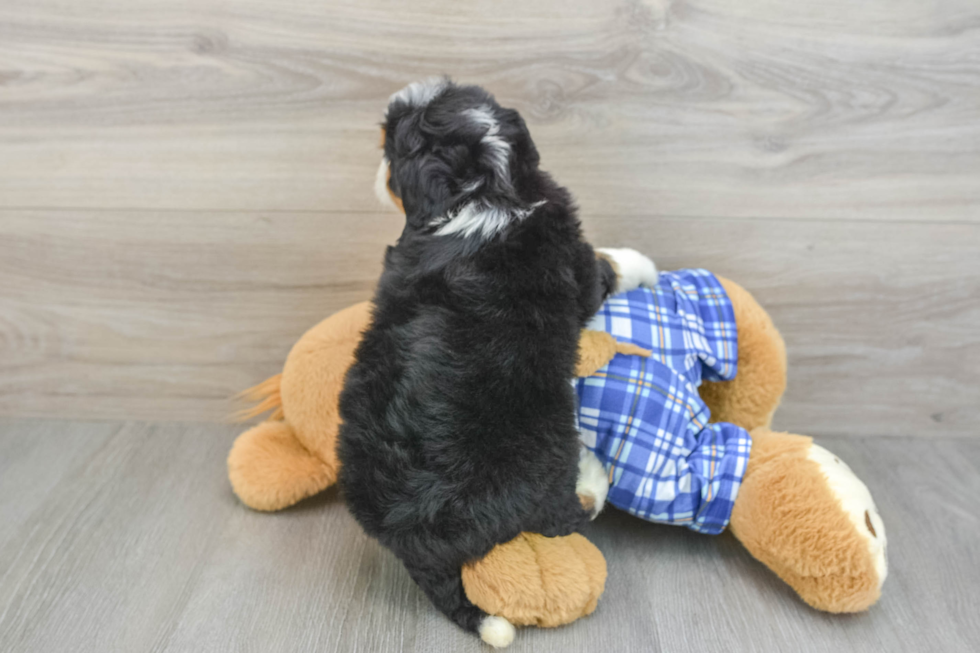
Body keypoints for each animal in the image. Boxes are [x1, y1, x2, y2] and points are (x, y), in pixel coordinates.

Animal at [338, 77, 660, 648]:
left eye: (391, 147)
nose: (378, 173)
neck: (483, 187)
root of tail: (411, 532)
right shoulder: (577, 265)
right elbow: (608, 265)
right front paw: (645, 264)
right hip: (544, 448)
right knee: (566, 514)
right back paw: (593, 476)